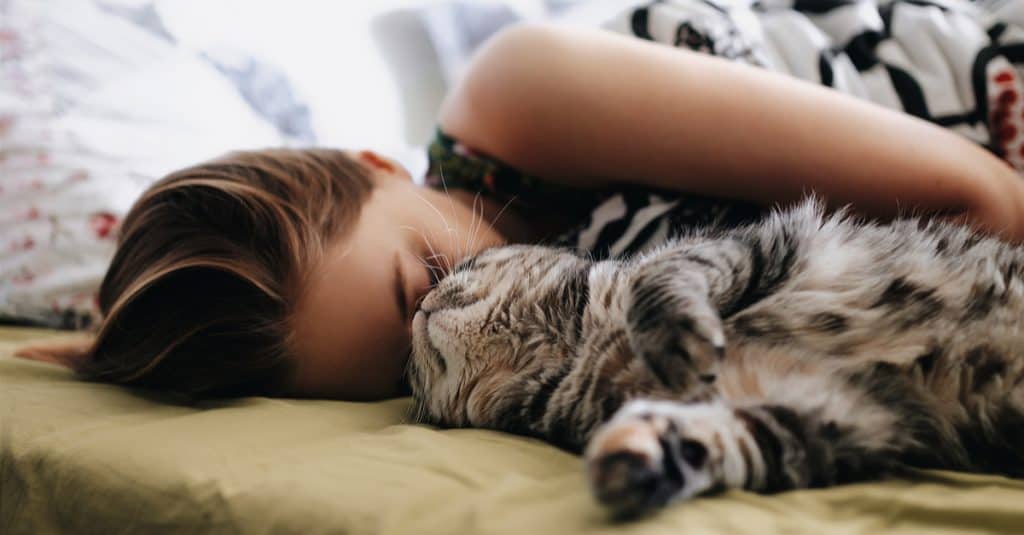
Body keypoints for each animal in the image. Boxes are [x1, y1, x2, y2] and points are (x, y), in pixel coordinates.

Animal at [403, 197, 1024, 514]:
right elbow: (723, 444)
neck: (578, 344)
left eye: (465, 265)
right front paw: (635, 459)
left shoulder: (750, 245)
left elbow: (657, 277)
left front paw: (677, 337)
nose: (415, 303)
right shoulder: (842, 415)